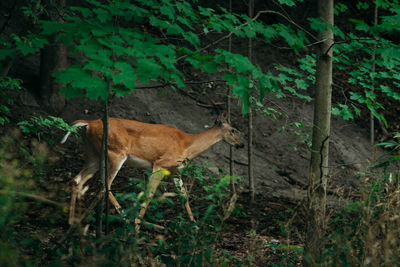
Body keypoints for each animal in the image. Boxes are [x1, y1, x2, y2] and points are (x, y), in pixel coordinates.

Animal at [61, 111, 244, 230]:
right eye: (233, 130)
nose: (241, 144)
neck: (187, 145)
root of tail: (89, 124)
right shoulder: (160, 164)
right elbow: (149, 194)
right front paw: (137, 226)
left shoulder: (175, 171)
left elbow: (184, 197)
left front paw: (195, 228)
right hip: (116, 152)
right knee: (105, 186)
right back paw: (126, 221)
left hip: (93, 154)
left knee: (77, 180)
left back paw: (73, 221)